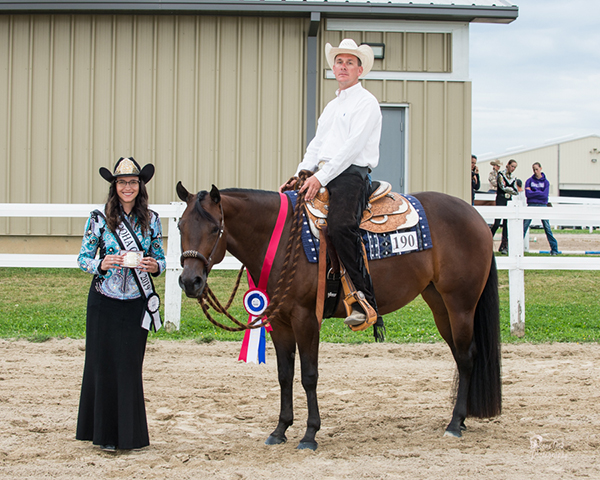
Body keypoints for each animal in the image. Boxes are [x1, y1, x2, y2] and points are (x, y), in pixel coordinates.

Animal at [176, 184, 500, 450]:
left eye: (215, 228)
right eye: (180, 226)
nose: (190, 281)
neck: (281, 240)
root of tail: (476, 216)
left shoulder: (306, 318)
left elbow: (309, 376)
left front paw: (310, 434)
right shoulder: (279, 321)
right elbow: (284, 375)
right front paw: (280, 430)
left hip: (460, 304)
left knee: (467, 356)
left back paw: (455, 424)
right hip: (439, 304)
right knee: (459, 355)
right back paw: (461, 420)